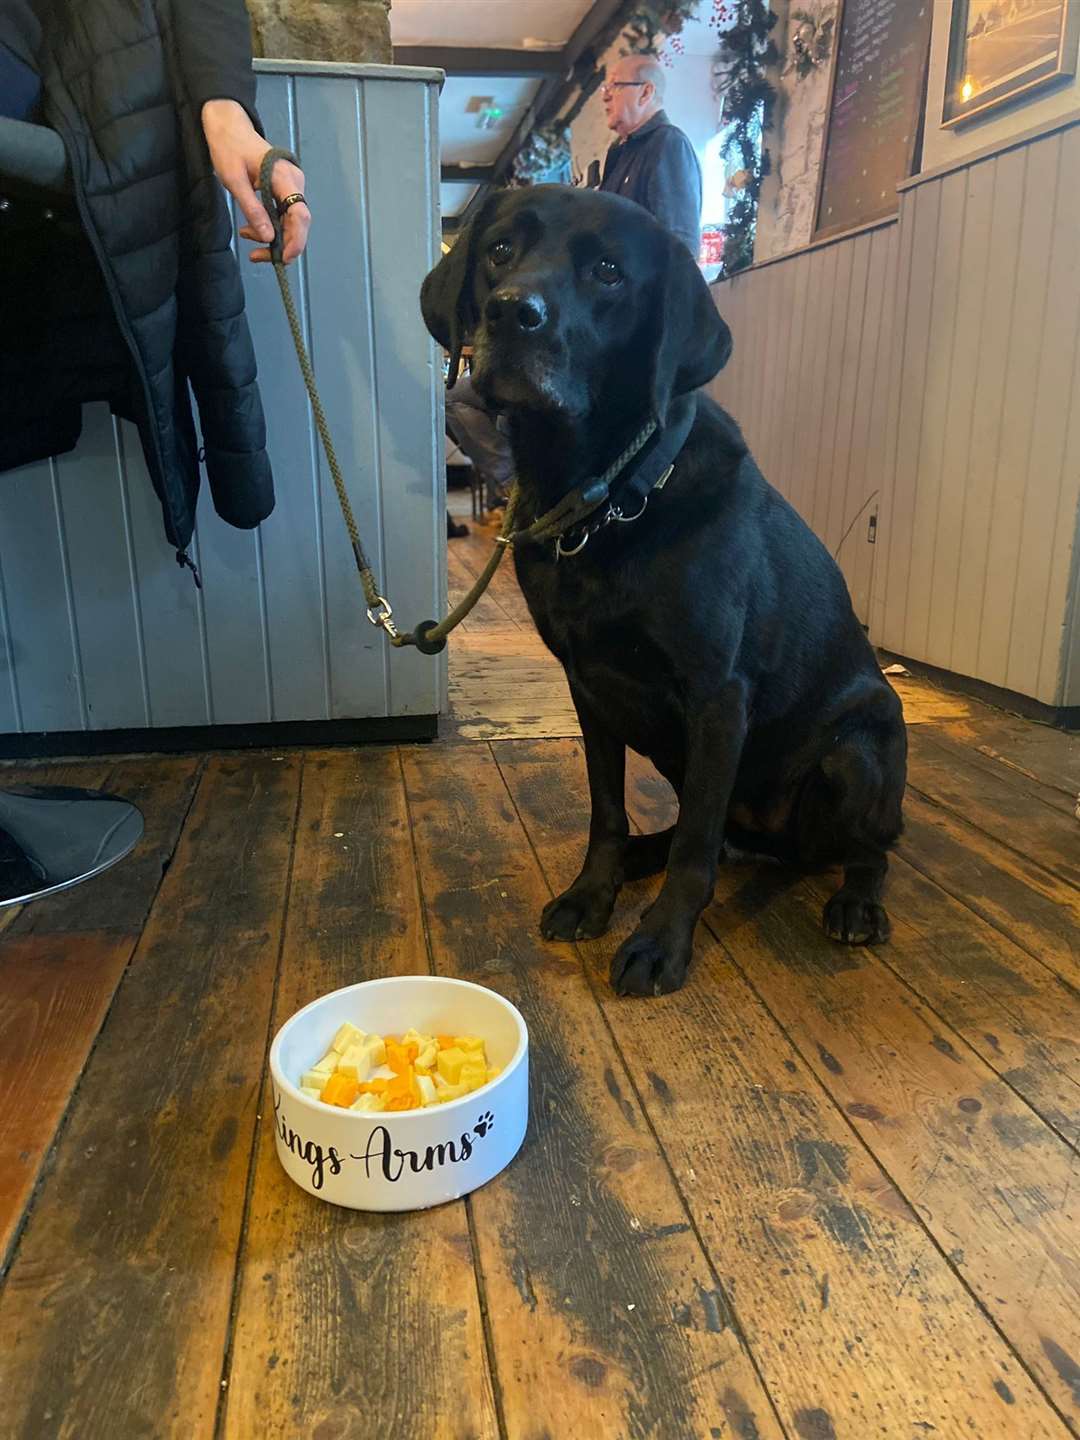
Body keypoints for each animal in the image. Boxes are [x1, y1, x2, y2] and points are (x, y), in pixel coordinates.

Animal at [420, 185, 904, 996]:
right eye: (499, 250)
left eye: (609, 272)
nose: (512, 313)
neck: (606, 497)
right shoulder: (587, 687)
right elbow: (607, 812)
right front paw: (593, 893)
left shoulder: (717, 697)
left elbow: (695, 853)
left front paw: (660, 942)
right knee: (704, 832)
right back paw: (644, 856)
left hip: (859, 748)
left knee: (865, 847)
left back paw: (856, 904)